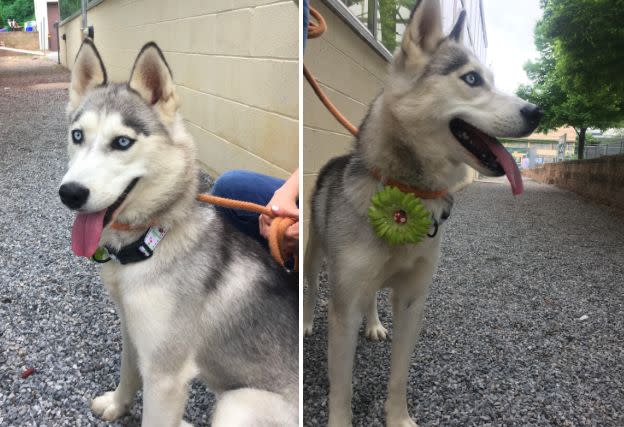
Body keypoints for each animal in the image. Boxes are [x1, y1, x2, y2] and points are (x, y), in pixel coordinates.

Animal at [59, 39, 300, 424]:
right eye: (77, 136)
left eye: (122, 142)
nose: (70, 193)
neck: (151, 241)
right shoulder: (133, 331)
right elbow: (128, 372)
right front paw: (118, 404)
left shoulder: (165, 376)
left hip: (236, 404)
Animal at [304, 1, 540, 426]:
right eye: (472, 79)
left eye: (491, 80)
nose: (538, 111)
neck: (406, 193)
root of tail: (336, 159)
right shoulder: (343, 308)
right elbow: (341, 388)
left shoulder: (413, 300)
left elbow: (399, 376)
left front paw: (398, 417)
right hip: (315, 255)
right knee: (312, 289)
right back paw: (306, 322)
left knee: (372, 297)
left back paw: (375, 324)